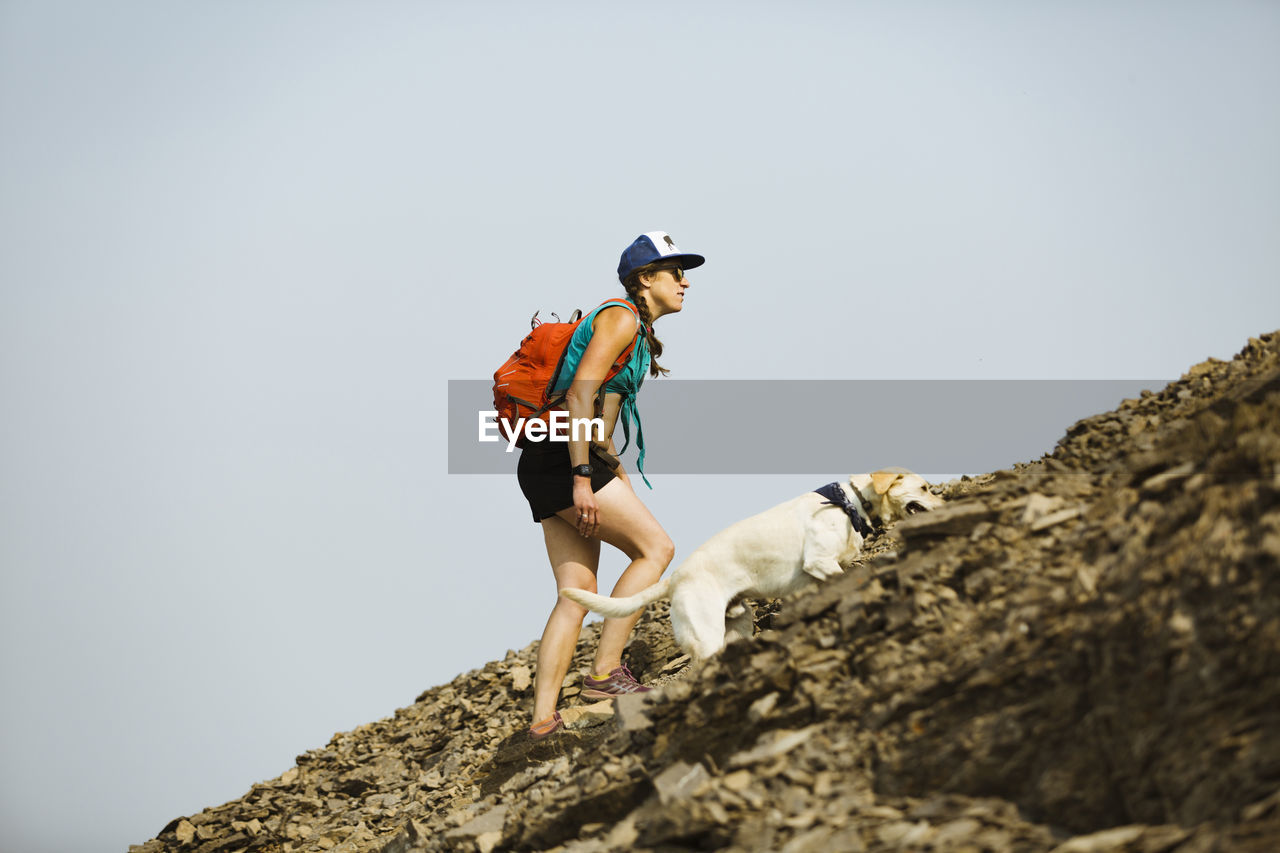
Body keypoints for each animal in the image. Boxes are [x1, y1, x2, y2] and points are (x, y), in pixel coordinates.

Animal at [560, 466, 942, 655]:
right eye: (924, 488)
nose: (943, 500)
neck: (851, 502)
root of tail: (676, 576)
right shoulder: (819, 562)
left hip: (739, 626)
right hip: (707, 635)